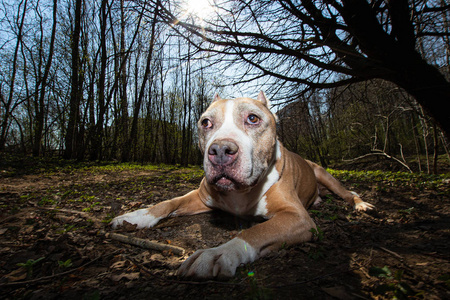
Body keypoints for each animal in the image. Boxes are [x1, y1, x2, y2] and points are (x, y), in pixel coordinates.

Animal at [110, 92, 374, 278]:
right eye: (205, 123)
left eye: (253, 118)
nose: (220, 150)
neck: (242, 191)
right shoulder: (200, 196)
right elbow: (168, 202)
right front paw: (136, 216)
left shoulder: (297, 217)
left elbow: (255, 231)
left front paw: (219, 253)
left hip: (325, 175)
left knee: (349, 193)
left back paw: (361, 205)